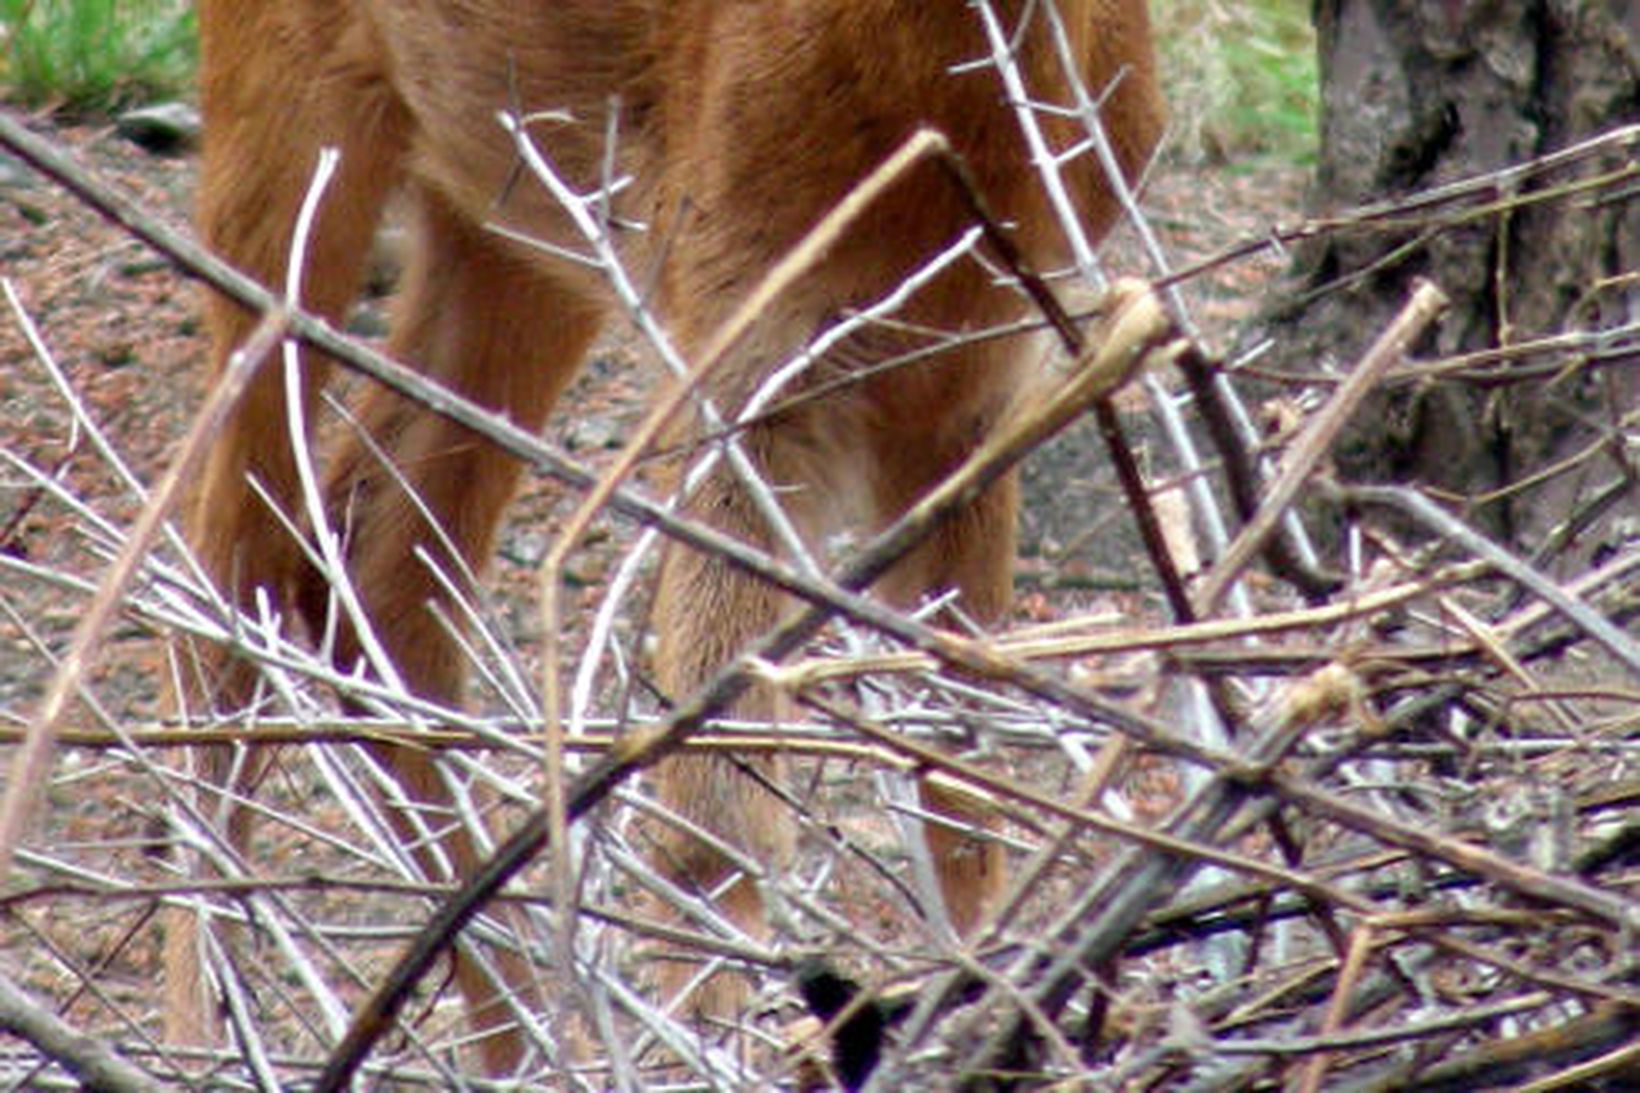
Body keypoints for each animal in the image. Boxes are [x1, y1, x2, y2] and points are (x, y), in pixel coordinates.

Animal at [169, 0, 1167, 1070]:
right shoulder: (740, 329)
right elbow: (711, 810)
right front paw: (715, 1046)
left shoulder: (978, 381)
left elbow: (960, 781)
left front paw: (988, 1018)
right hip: (291, 132)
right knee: (222, 572)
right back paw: (209, 1036)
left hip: (513, 214)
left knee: (371, 559)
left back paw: (518, 1038)